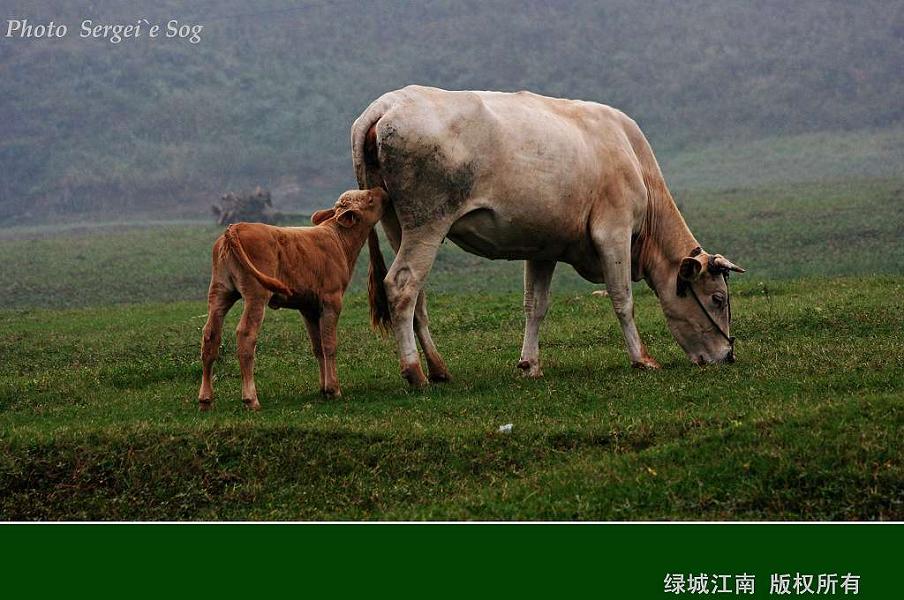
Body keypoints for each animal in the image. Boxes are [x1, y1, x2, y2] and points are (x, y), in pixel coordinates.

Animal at [198, 189, 388, 412]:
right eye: (369, 198)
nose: (381, 190)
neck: (339, 240)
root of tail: (236, 227)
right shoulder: (332, 300)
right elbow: (329, 344)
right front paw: (334, 389)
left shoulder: (308, 307)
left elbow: (318, 347)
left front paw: (323, 388)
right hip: (256, 295)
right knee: (245, 335)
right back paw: (250, 398)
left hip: (219, 292)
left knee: (210, 337)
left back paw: (205, 399)